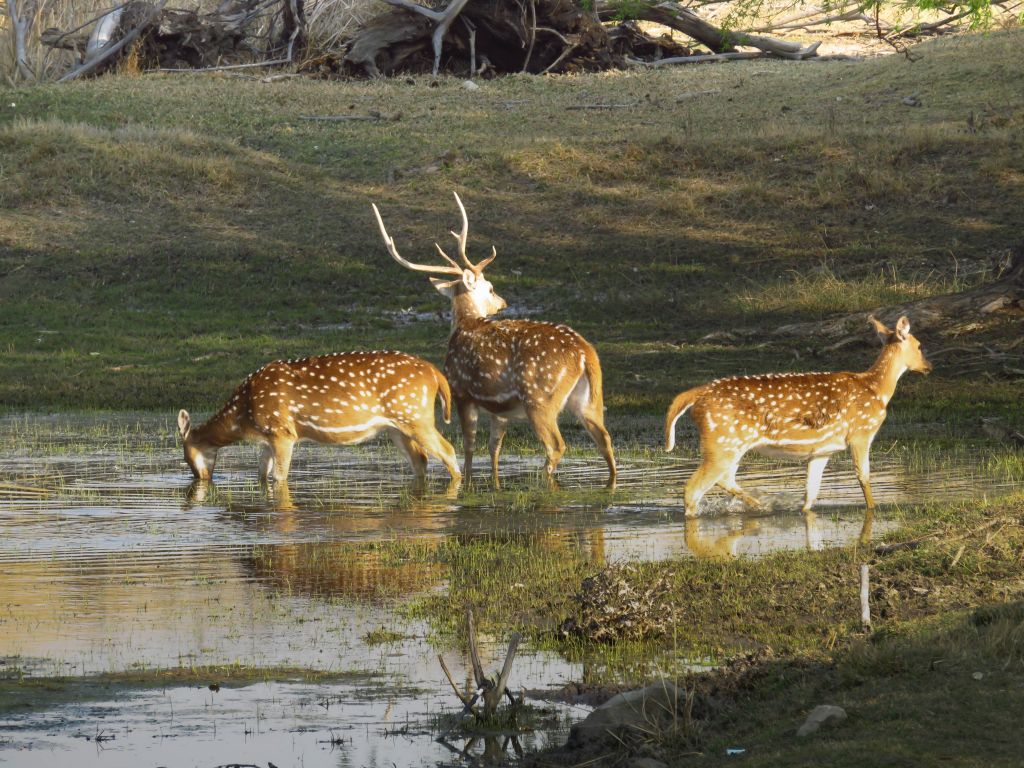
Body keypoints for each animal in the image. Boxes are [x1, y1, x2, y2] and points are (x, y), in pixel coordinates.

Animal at [176, 351, 461, 484]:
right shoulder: (268, 438)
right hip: (397, 427)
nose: (201, 479)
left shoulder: (283, 432)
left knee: (448, 450)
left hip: (416, 416)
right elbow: (261, 475)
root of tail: (436, 374)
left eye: (187, 456)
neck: (244, 415)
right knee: (420, 460)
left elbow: (279, 478)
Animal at [372, 193, 616, 487]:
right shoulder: (499, 408)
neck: (463, 325)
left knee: (556, 445)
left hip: (540, 397)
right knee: (604, 438)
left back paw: (543, 481)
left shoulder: (462, 390)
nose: (503, 303)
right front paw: (493, 483)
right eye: (490, 288)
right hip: (589, 399)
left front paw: (467, 482)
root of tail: (584, 354)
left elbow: (468, 445)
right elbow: (493, 447)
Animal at [665, 315, 931, 517]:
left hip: (729, 444)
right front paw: (873, 509)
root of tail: (698, 394)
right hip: (721, 441)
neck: (876, 390)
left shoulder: (823, 450)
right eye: (919, 345)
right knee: (693, 487)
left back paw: (762, 507)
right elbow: (863, 476)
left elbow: (810, 494)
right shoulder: (861, 433)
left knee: (724, 479)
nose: (928, 366)